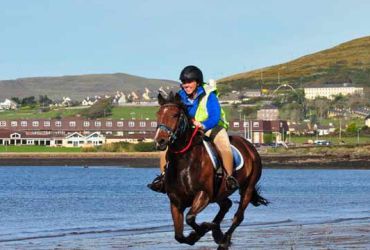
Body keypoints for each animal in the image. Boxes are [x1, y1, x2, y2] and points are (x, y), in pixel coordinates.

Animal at [153, 92, 268, 250]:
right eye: (158, 114)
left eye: (175, 115)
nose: (161, 141)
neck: (184, 162)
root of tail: (249, 146)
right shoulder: (176, 202)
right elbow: (179, 236)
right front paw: (199, 233)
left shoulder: (203, 195)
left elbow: (190, 218)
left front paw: (203, 229)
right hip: (220, 192)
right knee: (226, 205)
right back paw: (217, 232)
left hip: (247, 188)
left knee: (238, 216)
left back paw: (223, 240)